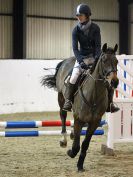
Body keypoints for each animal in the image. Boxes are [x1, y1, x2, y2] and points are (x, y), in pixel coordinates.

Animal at [41, 43, 118, 172]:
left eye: (117, 61)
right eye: (104, 60)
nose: (114, 82)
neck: (94, 94)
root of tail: (66, 60)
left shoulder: (95, 122)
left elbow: (85, 144)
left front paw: (80, 165)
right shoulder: (78, 119)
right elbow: (76, 145)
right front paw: (71, 153)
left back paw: (71, 134)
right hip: (61, 97)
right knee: (63, 115)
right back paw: (64, 139)